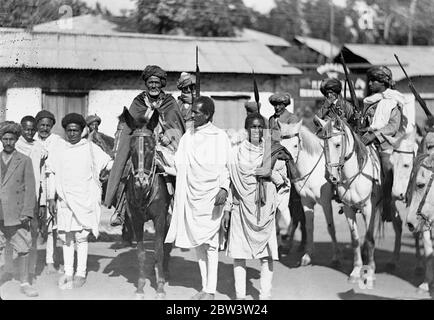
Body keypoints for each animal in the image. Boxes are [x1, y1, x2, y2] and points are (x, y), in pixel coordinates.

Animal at [280, 121, 340, 266]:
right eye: (281, 144)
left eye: (295, 145)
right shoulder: (305, 201)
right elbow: (308, 226)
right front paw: (307, 256)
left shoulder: (325, 202)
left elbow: (331, 227)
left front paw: (336, 257)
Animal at [316, 117, 380, 288]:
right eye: (324, 145)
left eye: (338, 144)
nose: (330, 176)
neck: (354, 178)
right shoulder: (348, 209)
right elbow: (355, 240)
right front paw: (356, 271)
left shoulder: (369, 208)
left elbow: (369, 238)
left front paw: (370, 272)